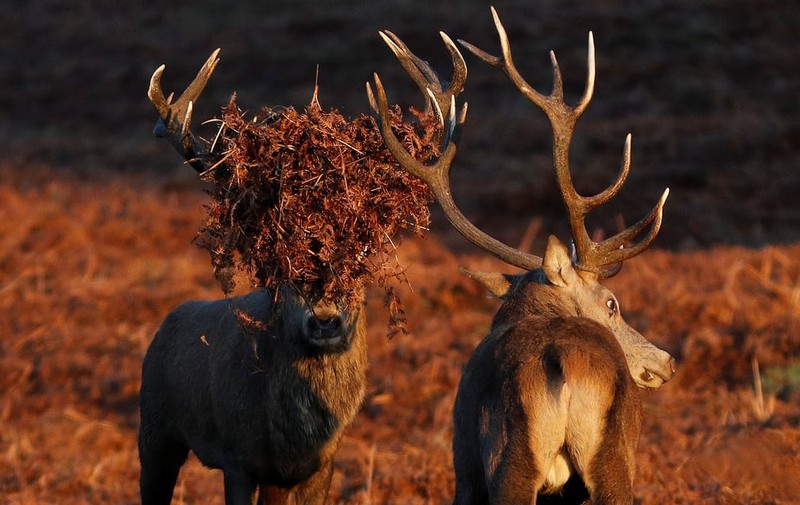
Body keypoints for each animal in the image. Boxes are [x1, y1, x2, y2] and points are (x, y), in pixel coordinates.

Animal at [140, 49, 368, 502]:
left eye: (359, 261)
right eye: (282, 264)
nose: (325, 321)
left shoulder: (321, 464)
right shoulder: (237, 456)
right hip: (153, 426)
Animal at [368, 6, 676, 500]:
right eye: (612, 304)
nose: (665, 360)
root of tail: (564, 361)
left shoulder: (467, 468)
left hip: (519, 460)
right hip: (584, 459)